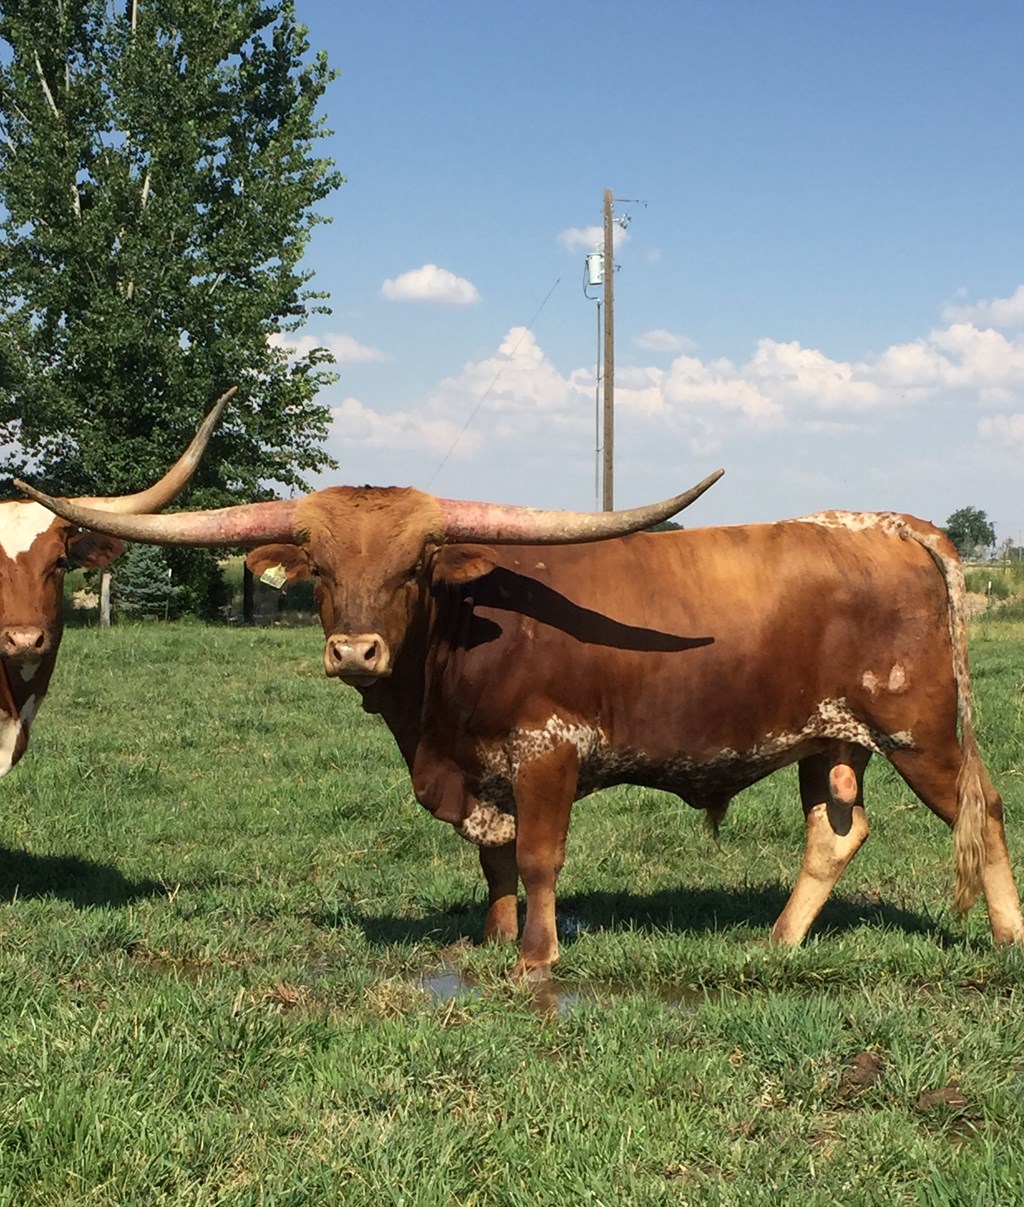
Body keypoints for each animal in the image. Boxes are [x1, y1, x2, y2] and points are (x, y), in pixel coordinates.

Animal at [17, 473, 1024, 980]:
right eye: (318, 562)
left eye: (416, 562)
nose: (355, 651)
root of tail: (893, 523)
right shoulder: (479, 770)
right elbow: (494, 859)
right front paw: (495, 935)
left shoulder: (548, 752)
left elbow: (539, 856)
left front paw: (536, 957)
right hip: (832, 741)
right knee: (836, 834)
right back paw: (776, 943)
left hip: (920, 732)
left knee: (985, 811)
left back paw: (1008, 939)